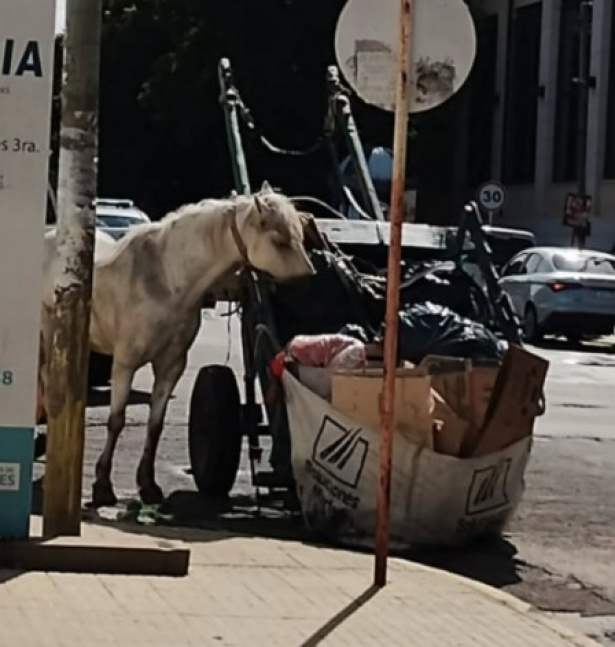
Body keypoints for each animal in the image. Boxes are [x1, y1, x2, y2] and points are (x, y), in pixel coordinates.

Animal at [38, 182, 316, 506]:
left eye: (300, 236)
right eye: (279, 240)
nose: (310, 281)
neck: (166, 280)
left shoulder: (171, 365)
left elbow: (155, 426)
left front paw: (148, 485)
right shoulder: (125, 364)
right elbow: (116, 420)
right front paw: (103, 486)